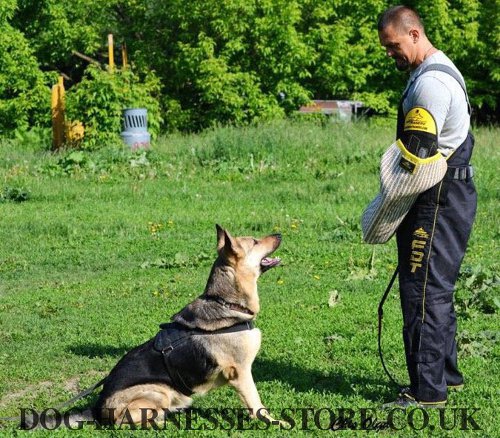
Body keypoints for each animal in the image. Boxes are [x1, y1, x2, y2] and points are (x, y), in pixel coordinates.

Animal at [92, 226, 282, 424]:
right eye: (254, 242)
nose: (279, 234)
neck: (226, 303)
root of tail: (97, 411)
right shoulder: (241, 373)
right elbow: (256, 403)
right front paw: (275, 422)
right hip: (158, 392)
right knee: (125, 421)